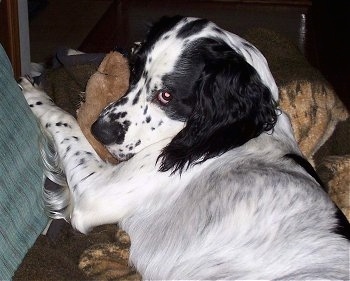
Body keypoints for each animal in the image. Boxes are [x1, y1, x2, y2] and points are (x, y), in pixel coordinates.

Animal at [20, 16, 348, 278]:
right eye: (134, 72)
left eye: (166, 95)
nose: (100, 131)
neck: (230, 136)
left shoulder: (95, 193)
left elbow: (63, 119)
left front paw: (31, 92)